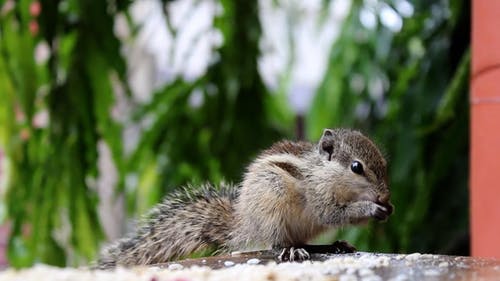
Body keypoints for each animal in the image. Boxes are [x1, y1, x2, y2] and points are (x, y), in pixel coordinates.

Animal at [96, 128, 394, 268]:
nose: (385, 195)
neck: (324, 172)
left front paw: (387, 207)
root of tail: (245, 221)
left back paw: (333, 246)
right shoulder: (318, 196)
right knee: (277, 244)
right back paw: (293, 250)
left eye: (383, 164)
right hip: (274, 205)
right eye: (356, 167)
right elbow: (333, 213)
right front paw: (370, 208)